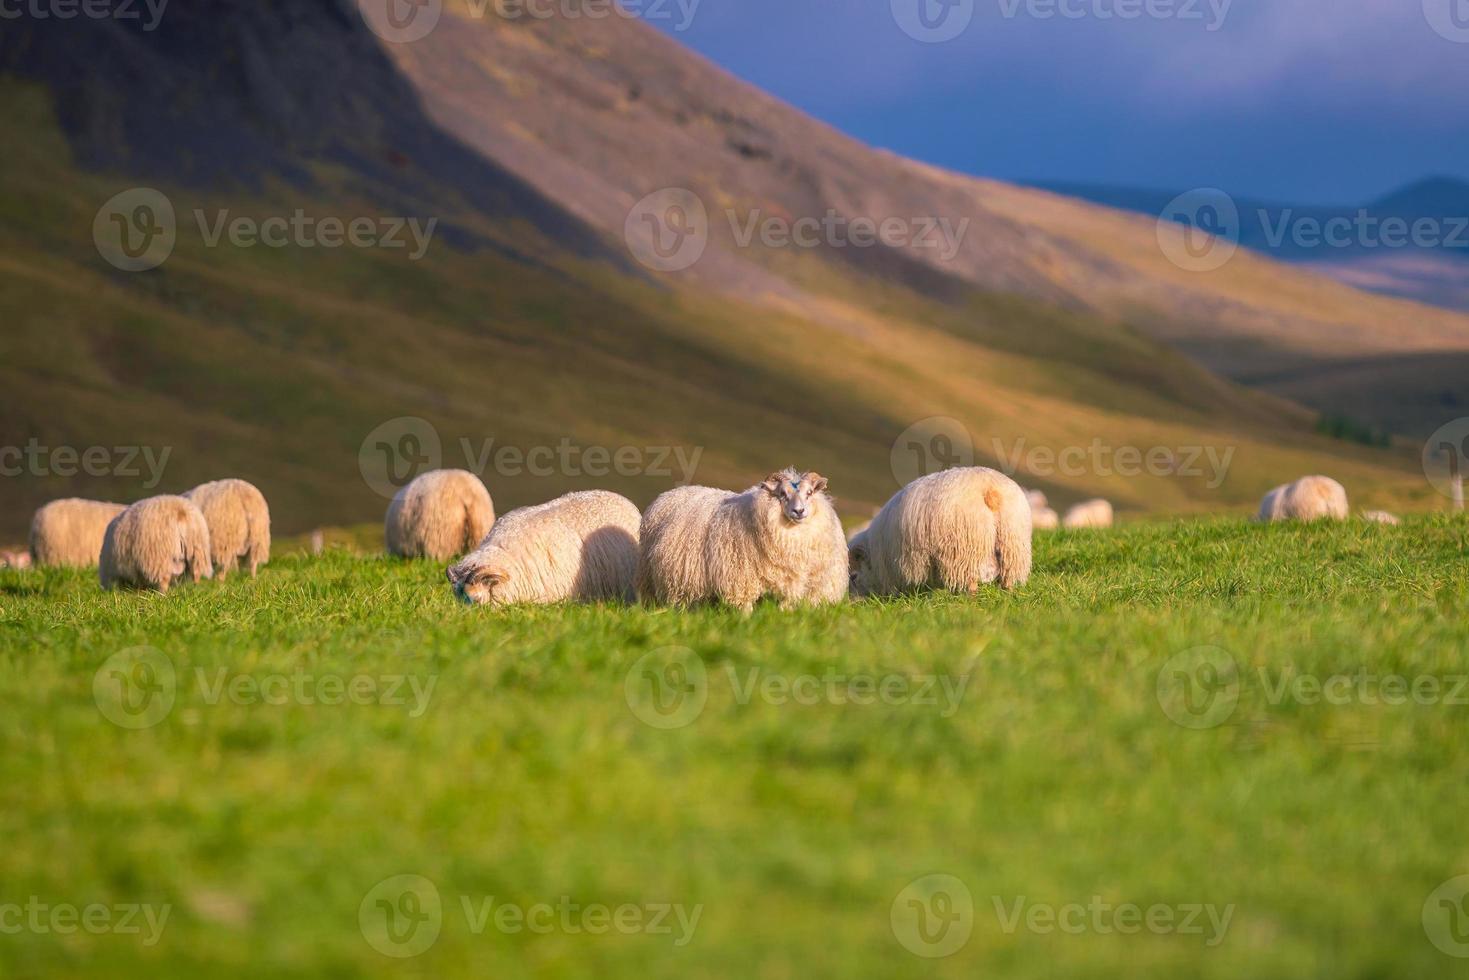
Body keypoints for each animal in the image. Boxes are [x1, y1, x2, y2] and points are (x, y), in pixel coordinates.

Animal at [634, 467, 852, 614]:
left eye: (809, 493)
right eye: (782, 493)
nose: (799, 511)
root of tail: (669, 493)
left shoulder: (798, 589)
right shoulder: (741, 582)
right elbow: (745, 613)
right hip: (657, 580)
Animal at [852, 467, 1034, 599]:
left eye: (853, 576)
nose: (852, 603)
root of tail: (989, 489)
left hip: (964, 549)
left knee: (972, 582)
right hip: (1013, 545)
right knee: (1008, 578)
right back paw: (1008, 598)